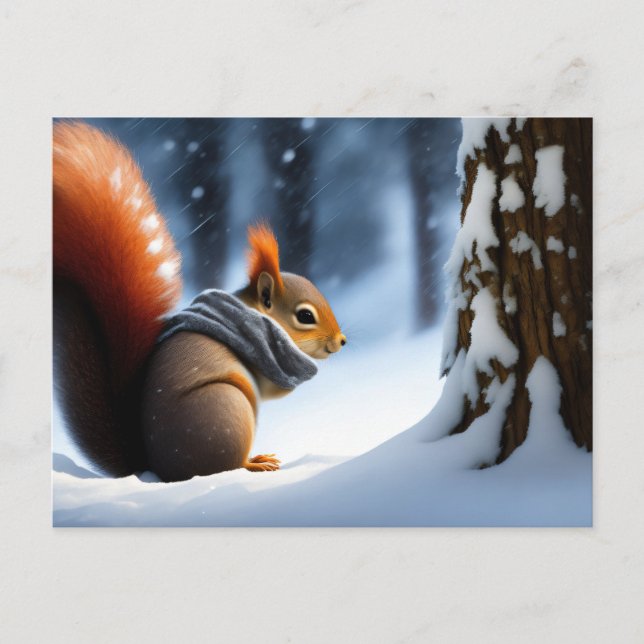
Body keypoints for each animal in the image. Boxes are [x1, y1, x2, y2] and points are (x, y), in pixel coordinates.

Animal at [53, 121, 346, 482]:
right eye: (305, 316)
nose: (342, 341)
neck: (251, 313)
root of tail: (158, 468)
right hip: (226, 409)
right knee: (225, 466)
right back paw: (254, 463)